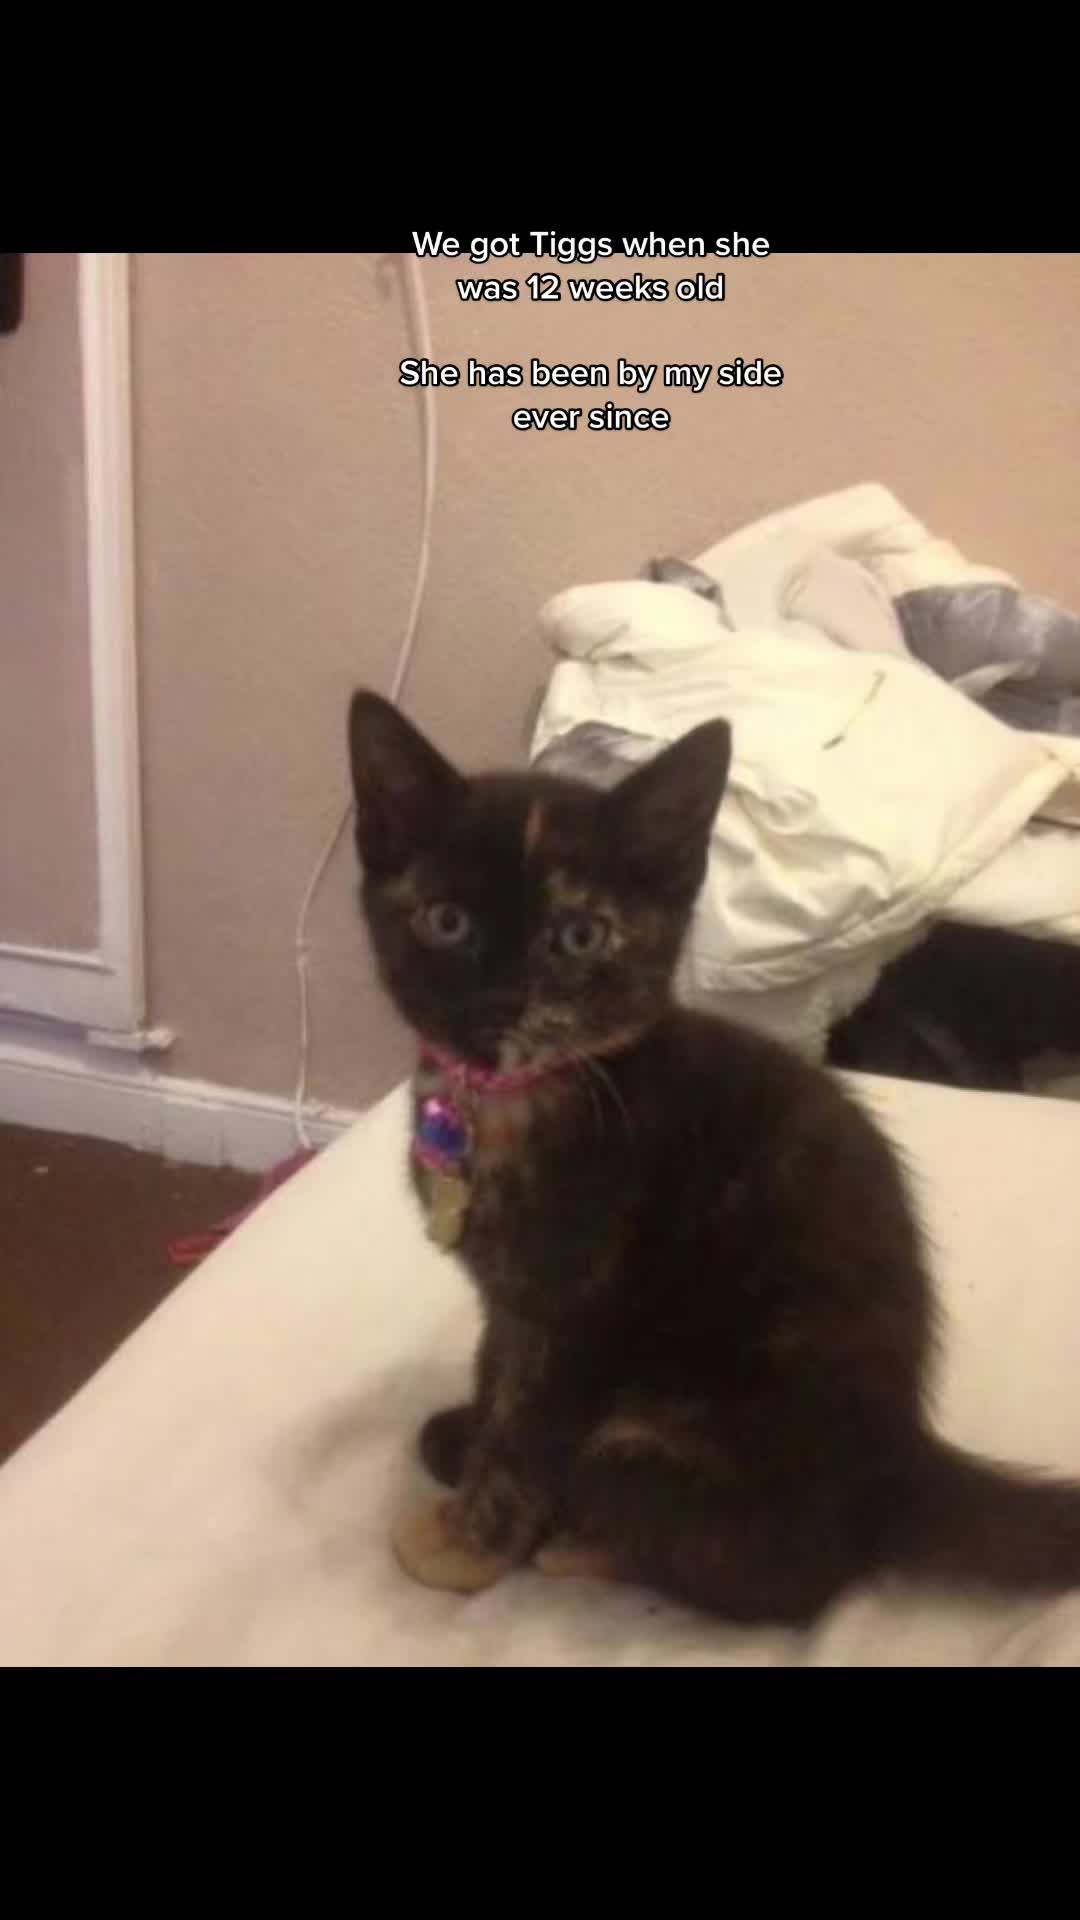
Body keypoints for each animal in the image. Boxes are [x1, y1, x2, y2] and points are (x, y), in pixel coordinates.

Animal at [347, 687, 1080, 1625]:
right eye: (447, 922)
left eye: (579, 937)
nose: (496, 1007)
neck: (509, 1103)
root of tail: (901, 1471)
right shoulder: (510, 1296)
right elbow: (495, 1364)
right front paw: (466, 1431)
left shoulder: (580, 1310)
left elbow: (530, 1429)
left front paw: (470, 1542)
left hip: (663, 1434)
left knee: (785, 1582)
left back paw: (586, 1543)